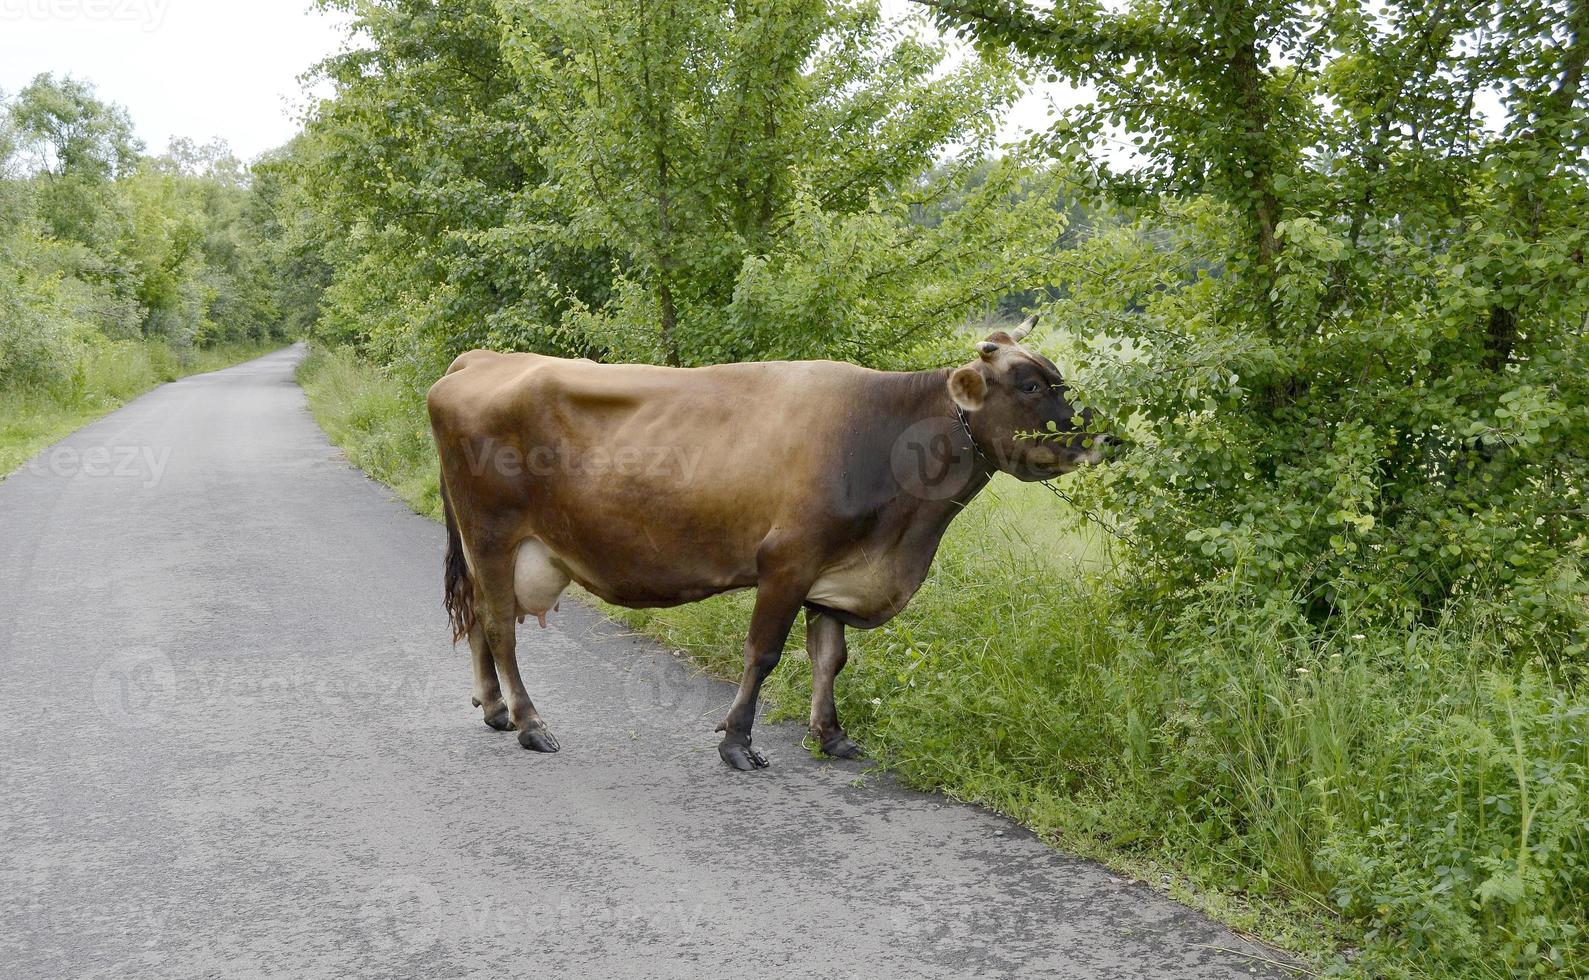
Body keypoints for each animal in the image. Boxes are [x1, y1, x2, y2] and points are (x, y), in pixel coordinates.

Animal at [429, 317, 1112, 768]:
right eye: (1030, 385)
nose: (1107, 437)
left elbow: (830, 658)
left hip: (487, 546)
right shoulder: (787, 561)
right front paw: (738, 742)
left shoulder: (834, 574)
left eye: (1056, 376)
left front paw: (832, 736)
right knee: (499, 624)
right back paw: (529, 723)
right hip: (492, 534)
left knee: (484, 620)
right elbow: (763, 653)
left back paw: (495, 710)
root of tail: (478, 359)